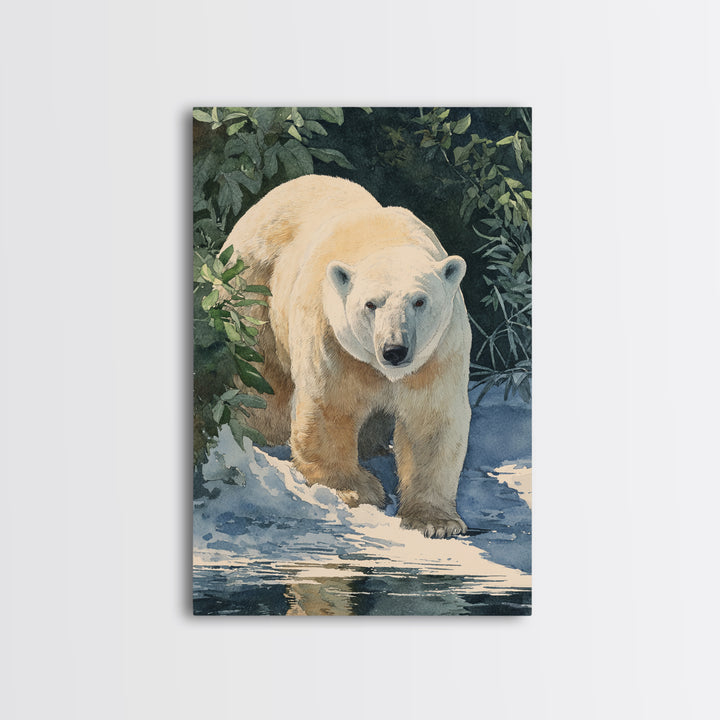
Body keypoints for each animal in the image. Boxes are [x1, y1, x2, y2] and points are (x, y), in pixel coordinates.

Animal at [221, 175, 472, 538]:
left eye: (419, 301)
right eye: (371, 304)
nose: (394, 350)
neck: (384, 238)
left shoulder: (437, 353)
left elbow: (432, 422)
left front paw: (435, 522)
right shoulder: (332, 339)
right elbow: (329, 409)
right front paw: (356, 490)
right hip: (252, 290)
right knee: (262, 380)